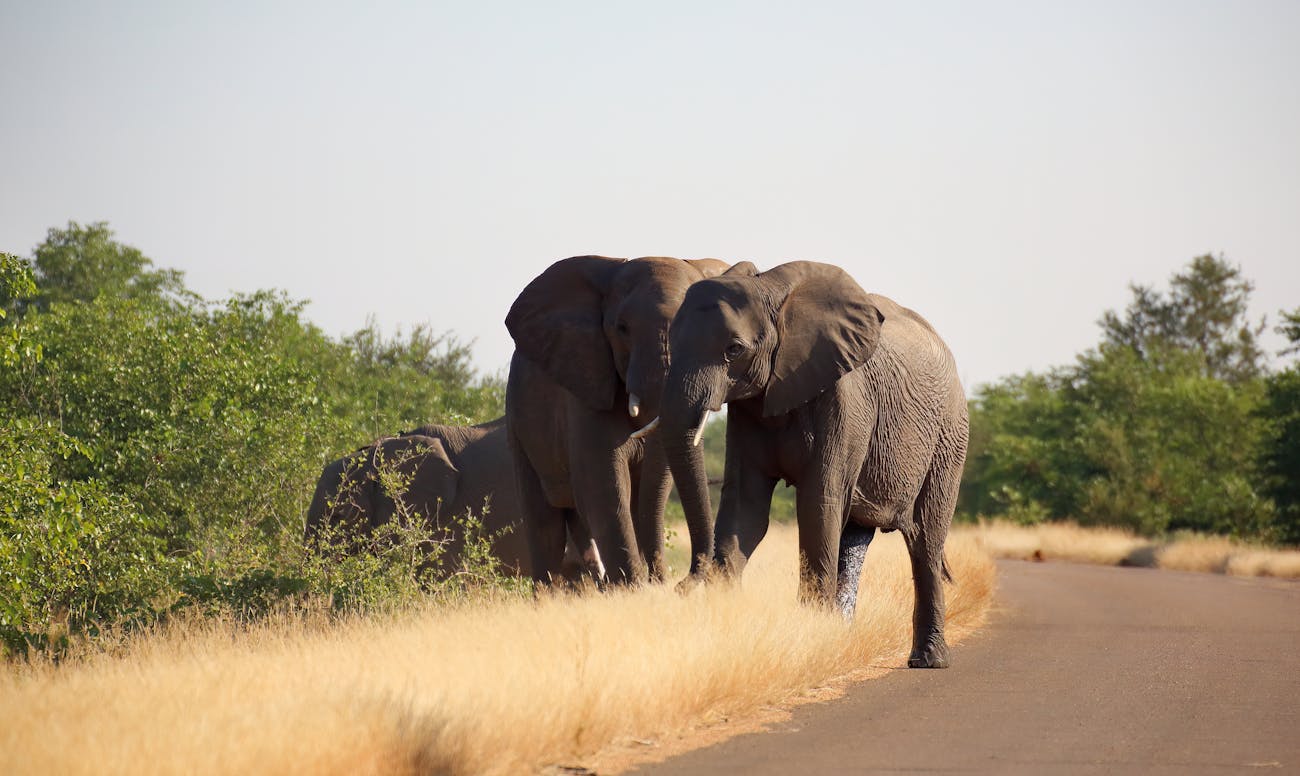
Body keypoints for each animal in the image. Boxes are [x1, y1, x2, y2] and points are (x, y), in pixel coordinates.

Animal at [504, 257, 733, 584]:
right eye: (622, 329)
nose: (679, 584)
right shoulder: (586, 384)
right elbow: (605, 484)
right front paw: (634, 588)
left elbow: (652, 485)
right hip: (518, 421)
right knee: (545, 526)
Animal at [650, 258, 967, 665]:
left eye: (734, 349)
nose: (678, 587)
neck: (771, 293)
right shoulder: (750, 407)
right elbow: (747, 507)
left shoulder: (846, 400)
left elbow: (819, 503)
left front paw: (811, 638)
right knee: (853, 542)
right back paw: (845, 639)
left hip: (949, 435)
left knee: (926, 540)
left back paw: (928, 661)